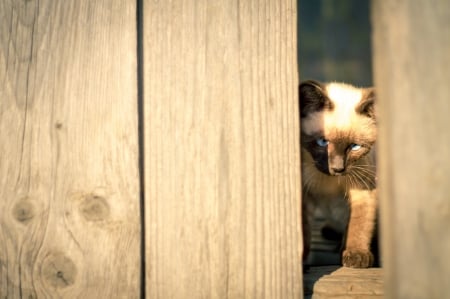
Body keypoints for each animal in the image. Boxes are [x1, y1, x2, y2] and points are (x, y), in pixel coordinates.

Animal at [300, 79, 378, 270]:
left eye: (355, 147)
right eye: (322, 142)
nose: (337, 169)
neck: (329, 183)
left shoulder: (363, 188)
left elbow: (358, 225)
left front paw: (356, 255)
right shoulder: (305, 192)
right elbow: (303, 229)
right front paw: (301, 260)